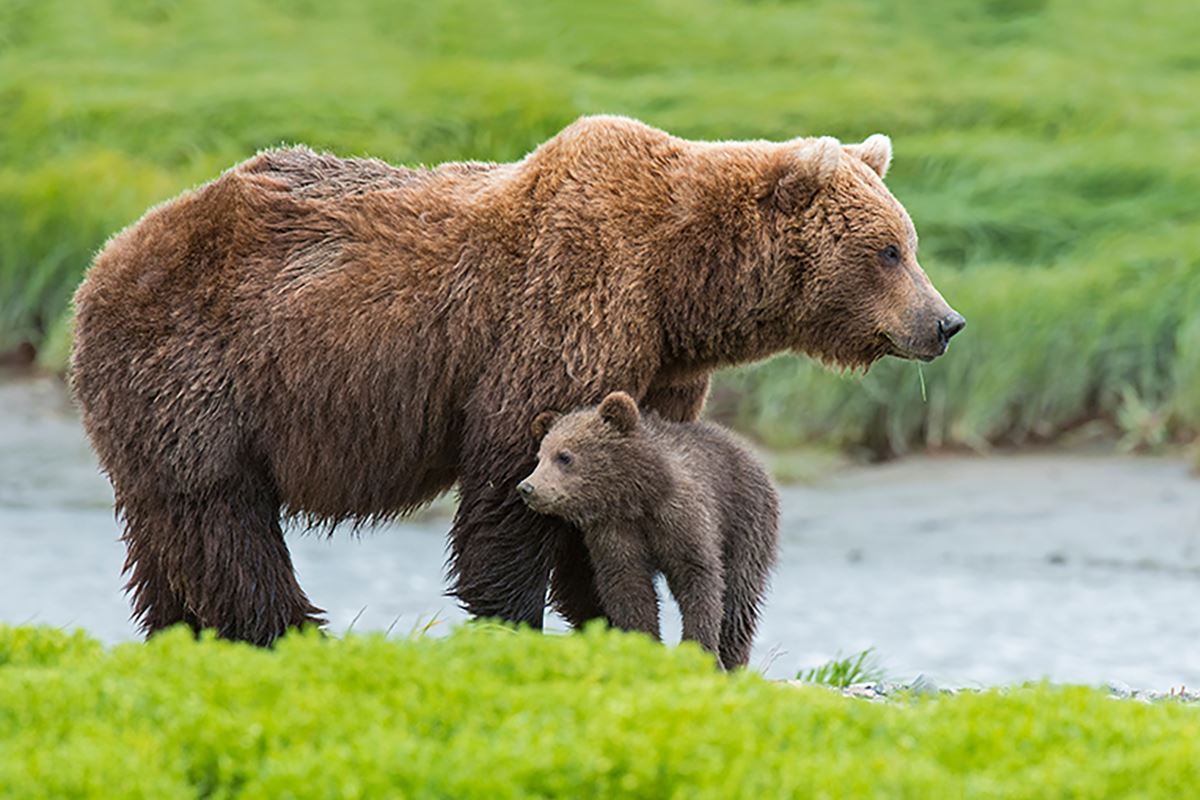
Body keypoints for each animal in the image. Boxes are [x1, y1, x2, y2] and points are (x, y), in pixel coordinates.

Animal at [70, 113, 960, 642]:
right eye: (889, 249)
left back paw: (180, 633)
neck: (680, 286)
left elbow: (618, 480)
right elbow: (513, 475)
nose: (944, 323)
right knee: (222, 520)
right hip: (199, 375)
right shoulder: (566, 308)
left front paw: (608, 618)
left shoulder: (657, 368)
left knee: (163, 538)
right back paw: (288, 629)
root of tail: (104, 259)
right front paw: (515, 618)